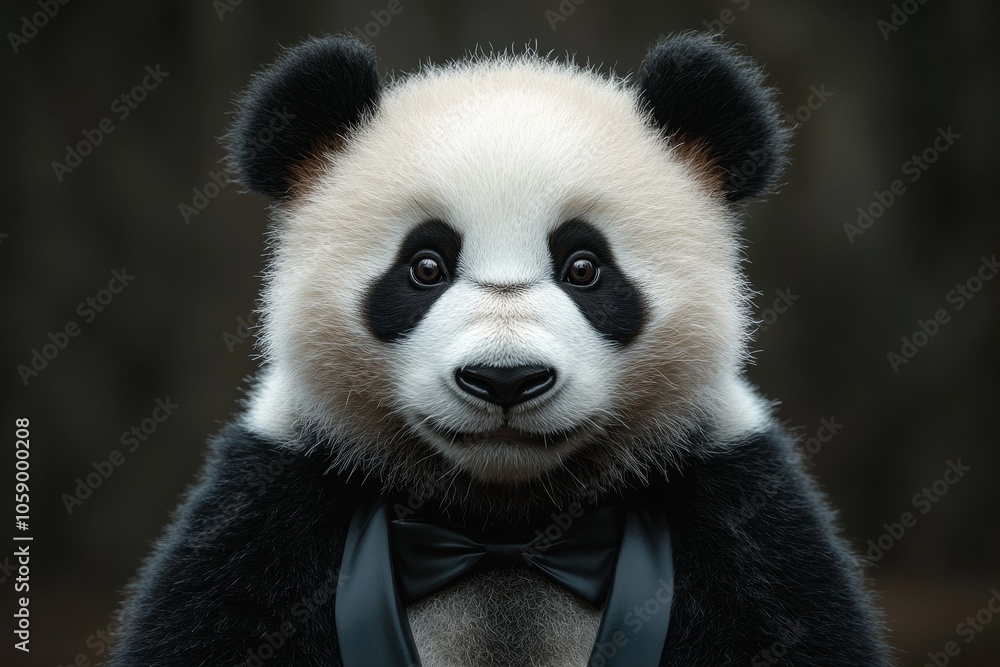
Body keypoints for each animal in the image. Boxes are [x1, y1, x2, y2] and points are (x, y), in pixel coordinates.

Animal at [112, 32, 892, 667]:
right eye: (426, 266)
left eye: (585, 267)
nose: (506, 379)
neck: (503, 523)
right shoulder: (277, 501)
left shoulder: (736, 506)